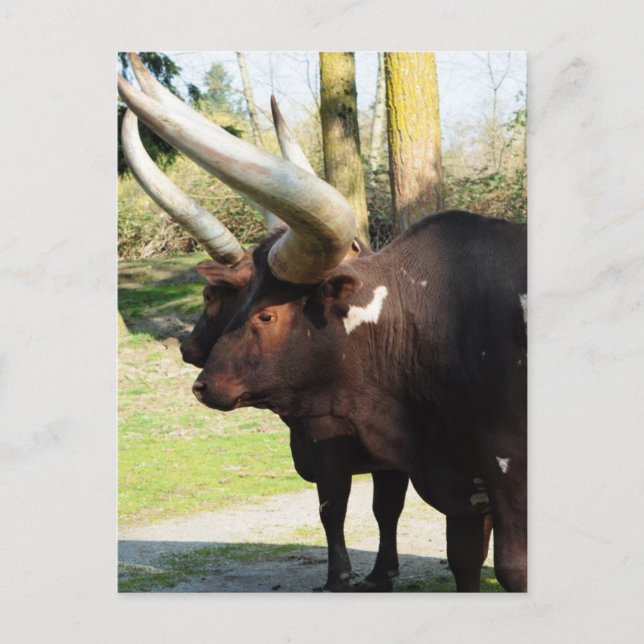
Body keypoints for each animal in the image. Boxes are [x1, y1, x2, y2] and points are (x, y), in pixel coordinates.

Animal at [119, 61, 521, 591]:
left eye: (261, 312)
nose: (192, 361)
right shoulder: (415, 464)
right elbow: (398, 516)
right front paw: (381, 572)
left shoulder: (338, 444)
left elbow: (339, 509)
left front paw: (342, 576)